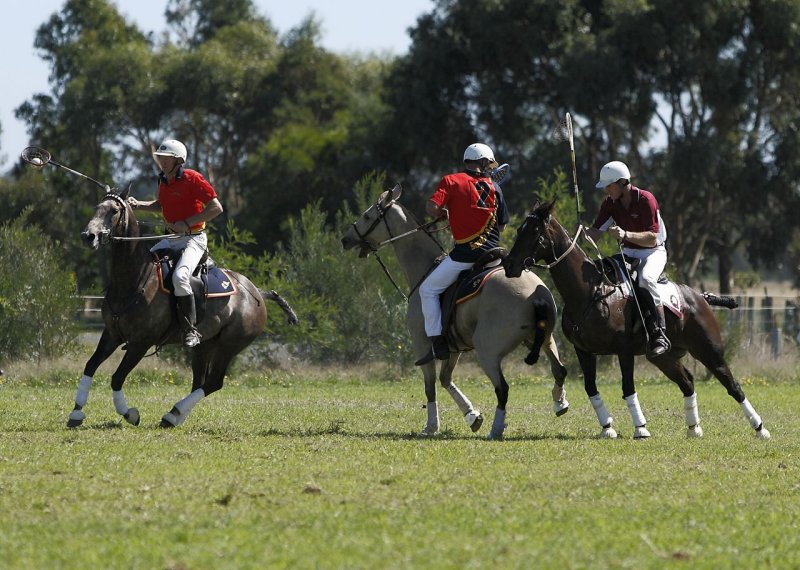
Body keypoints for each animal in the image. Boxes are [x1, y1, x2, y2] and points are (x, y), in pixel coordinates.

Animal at [69, 189, 298, 428]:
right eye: (97, 207)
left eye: (114, 210)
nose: (88, 236)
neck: (134, 279)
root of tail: (257, 292)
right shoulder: (112, 334)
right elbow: (90, 366)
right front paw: (76, 412)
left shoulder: (141, 343)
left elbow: (117, 377)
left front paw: (130, 413)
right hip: (204, 345)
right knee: (199, 382)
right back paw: (174, 416)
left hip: (230, 345)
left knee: (213, 383)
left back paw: (173, 414)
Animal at [340, 184, 572, 438]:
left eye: (367, 216)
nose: (345, 239)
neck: (425, 268)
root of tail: (536, 296)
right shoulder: (453, 345)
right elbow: (445, 379)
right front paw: (472, 416)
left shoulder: (423, 343)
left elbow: (430, 387)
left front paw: (432, 426)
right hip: (544, 339)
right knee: (559, 370)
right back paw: (559, 403)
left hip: (487, 350)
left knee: (503, 388)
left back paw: (496, 429)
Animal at [504, 197, 772, 438]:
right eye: (519, 229)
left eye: (534, 231)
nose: (509, 264)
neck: (590, 292)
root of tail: (700, 297)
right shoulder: (584, 351)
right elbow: (591, 388)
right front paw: (607, 428)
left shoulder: (623, 350)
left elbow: (628, 387)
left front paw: (640, 428)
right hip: (663, 357)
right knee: (687, 381)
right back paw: (693, 428)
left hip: (709, 351)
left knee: (732, 385)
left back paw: (760, 429)